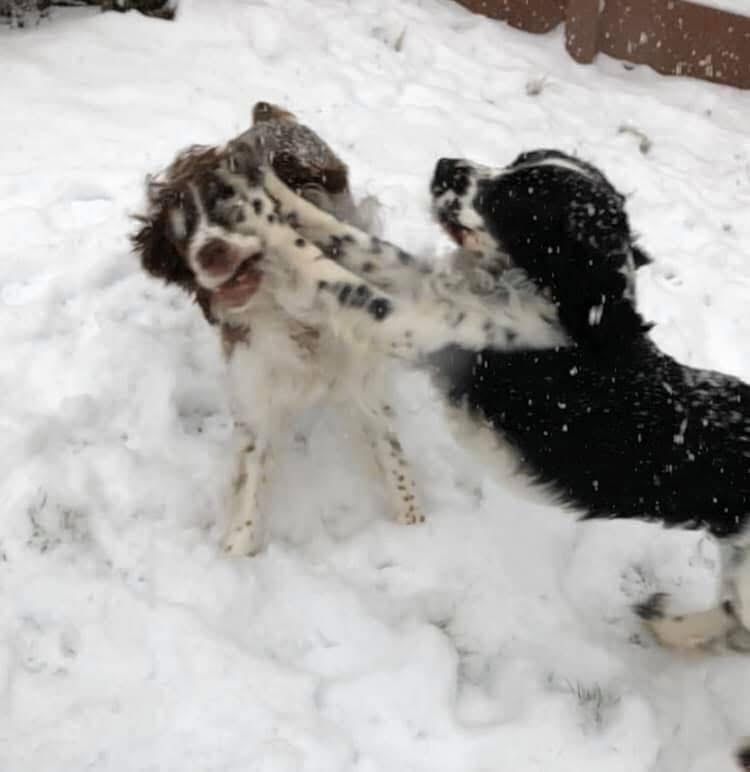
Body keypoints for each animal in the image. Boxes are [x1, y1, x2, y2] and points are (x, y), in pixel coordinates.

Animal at [131, 102, 423, 557]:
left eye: (233, 210)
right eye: (181, 237)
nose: (210, 252)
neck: (294, 314)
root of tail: (266, 115)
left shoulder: (360, 382)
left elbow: (390, 454)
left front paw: (415, 526)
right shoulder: (258, 396)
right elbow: (252, 481)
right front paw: (236, 554)